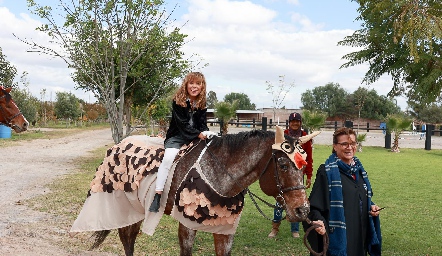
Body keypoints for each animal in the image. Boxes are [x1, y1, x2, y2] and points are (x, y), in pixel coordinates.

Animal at [71, 126, 322, 256]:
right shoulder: (187, 226)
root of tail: (119, 145)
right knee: (127, 238)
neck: (219, 174)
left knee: (129, 236)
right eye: (283, 165)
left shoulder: (225, 230)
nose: (303, 210)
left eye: (304, 165)